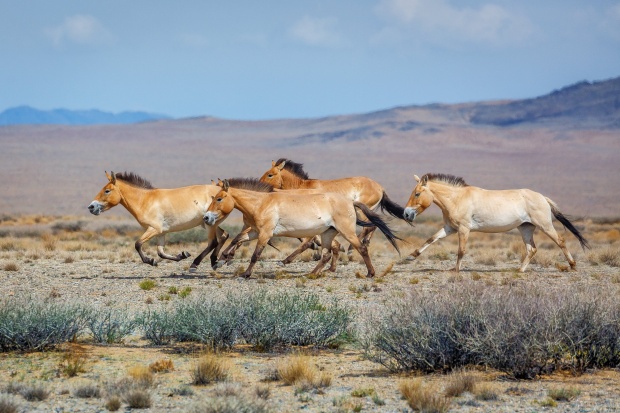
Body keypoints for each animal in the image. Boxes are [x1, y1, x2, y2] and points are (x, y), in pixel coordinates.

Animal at [88, 171, 229, 270]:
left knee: (213, 242)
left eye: (107, 191)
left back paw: (196, 264)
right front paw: (182, 255)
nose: (91, 207)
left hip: (209, 225)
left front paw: (151, 261)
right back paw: (216, 261)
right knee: (224, 235)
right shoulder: (161, 233)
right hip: (208, 223)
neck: (145, 200)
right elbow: (161, 253)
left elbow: (137, 244)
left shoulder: (154, 229)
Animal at [201, 176, 400, 276]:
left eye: (219, 198)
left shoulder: (265, 234)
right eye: (213, 197)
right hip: (328, 234)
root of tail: (351, 202)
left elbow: (255, 254)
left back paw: (370, 273)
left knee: (361, 248)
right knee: (327, 254)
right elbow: (237, 239)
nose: (206, 217)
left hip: (346, 232)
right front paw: (222, 259)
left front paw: (246, 274)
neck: (262, 202)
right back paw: (312, 273)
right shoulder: (256, 232)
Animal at [402, 172, 592, 272]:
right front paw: (410, 257)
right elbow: (431, 239)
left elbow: (461, 250)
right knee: (532, 249)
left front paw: (456, 270)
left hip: (544, 225)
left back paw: (573, 265)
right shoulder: (450, 228)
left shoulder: (464, 229)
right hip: (525, 228)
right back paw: (519, 270)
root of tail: (542, 197)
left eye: (417, 193)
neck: (457, 198)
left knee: (560, 241)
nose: (406, 214)